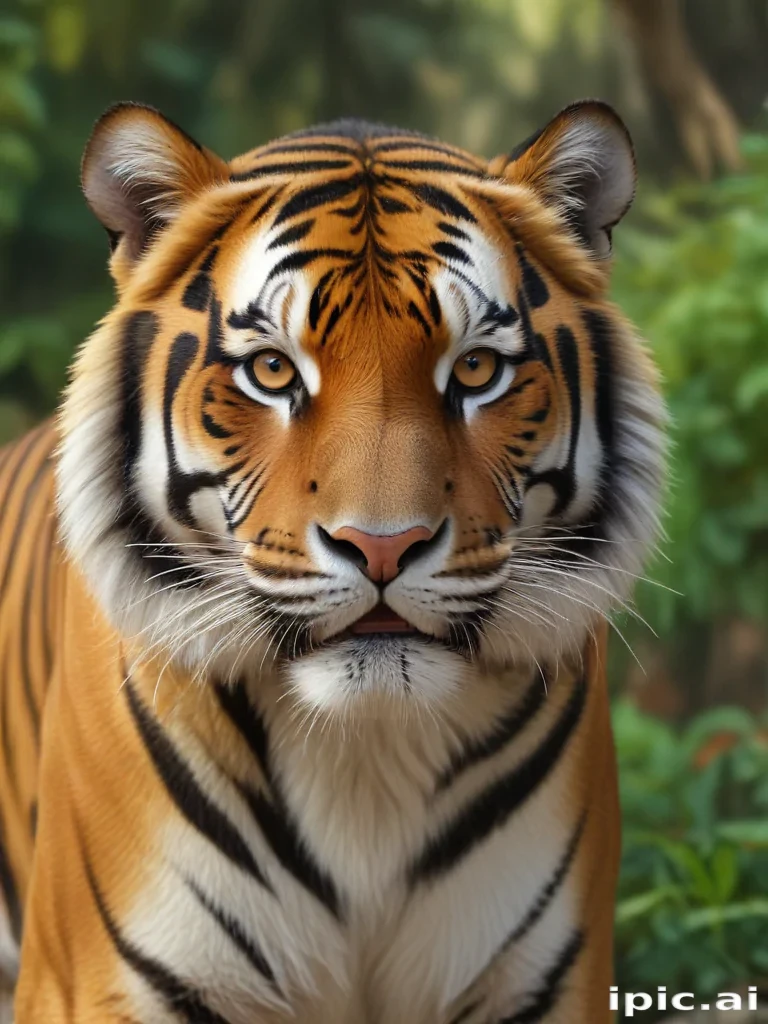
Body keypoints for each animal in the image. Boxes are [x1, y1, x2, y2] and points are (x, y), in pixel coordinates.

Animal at [0, 99, 665, 1022]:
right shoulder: (100, 985)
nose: (383, 545)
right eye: (273, 370)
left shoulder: (547, 982)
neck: (365, 762)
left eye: (476, 369)